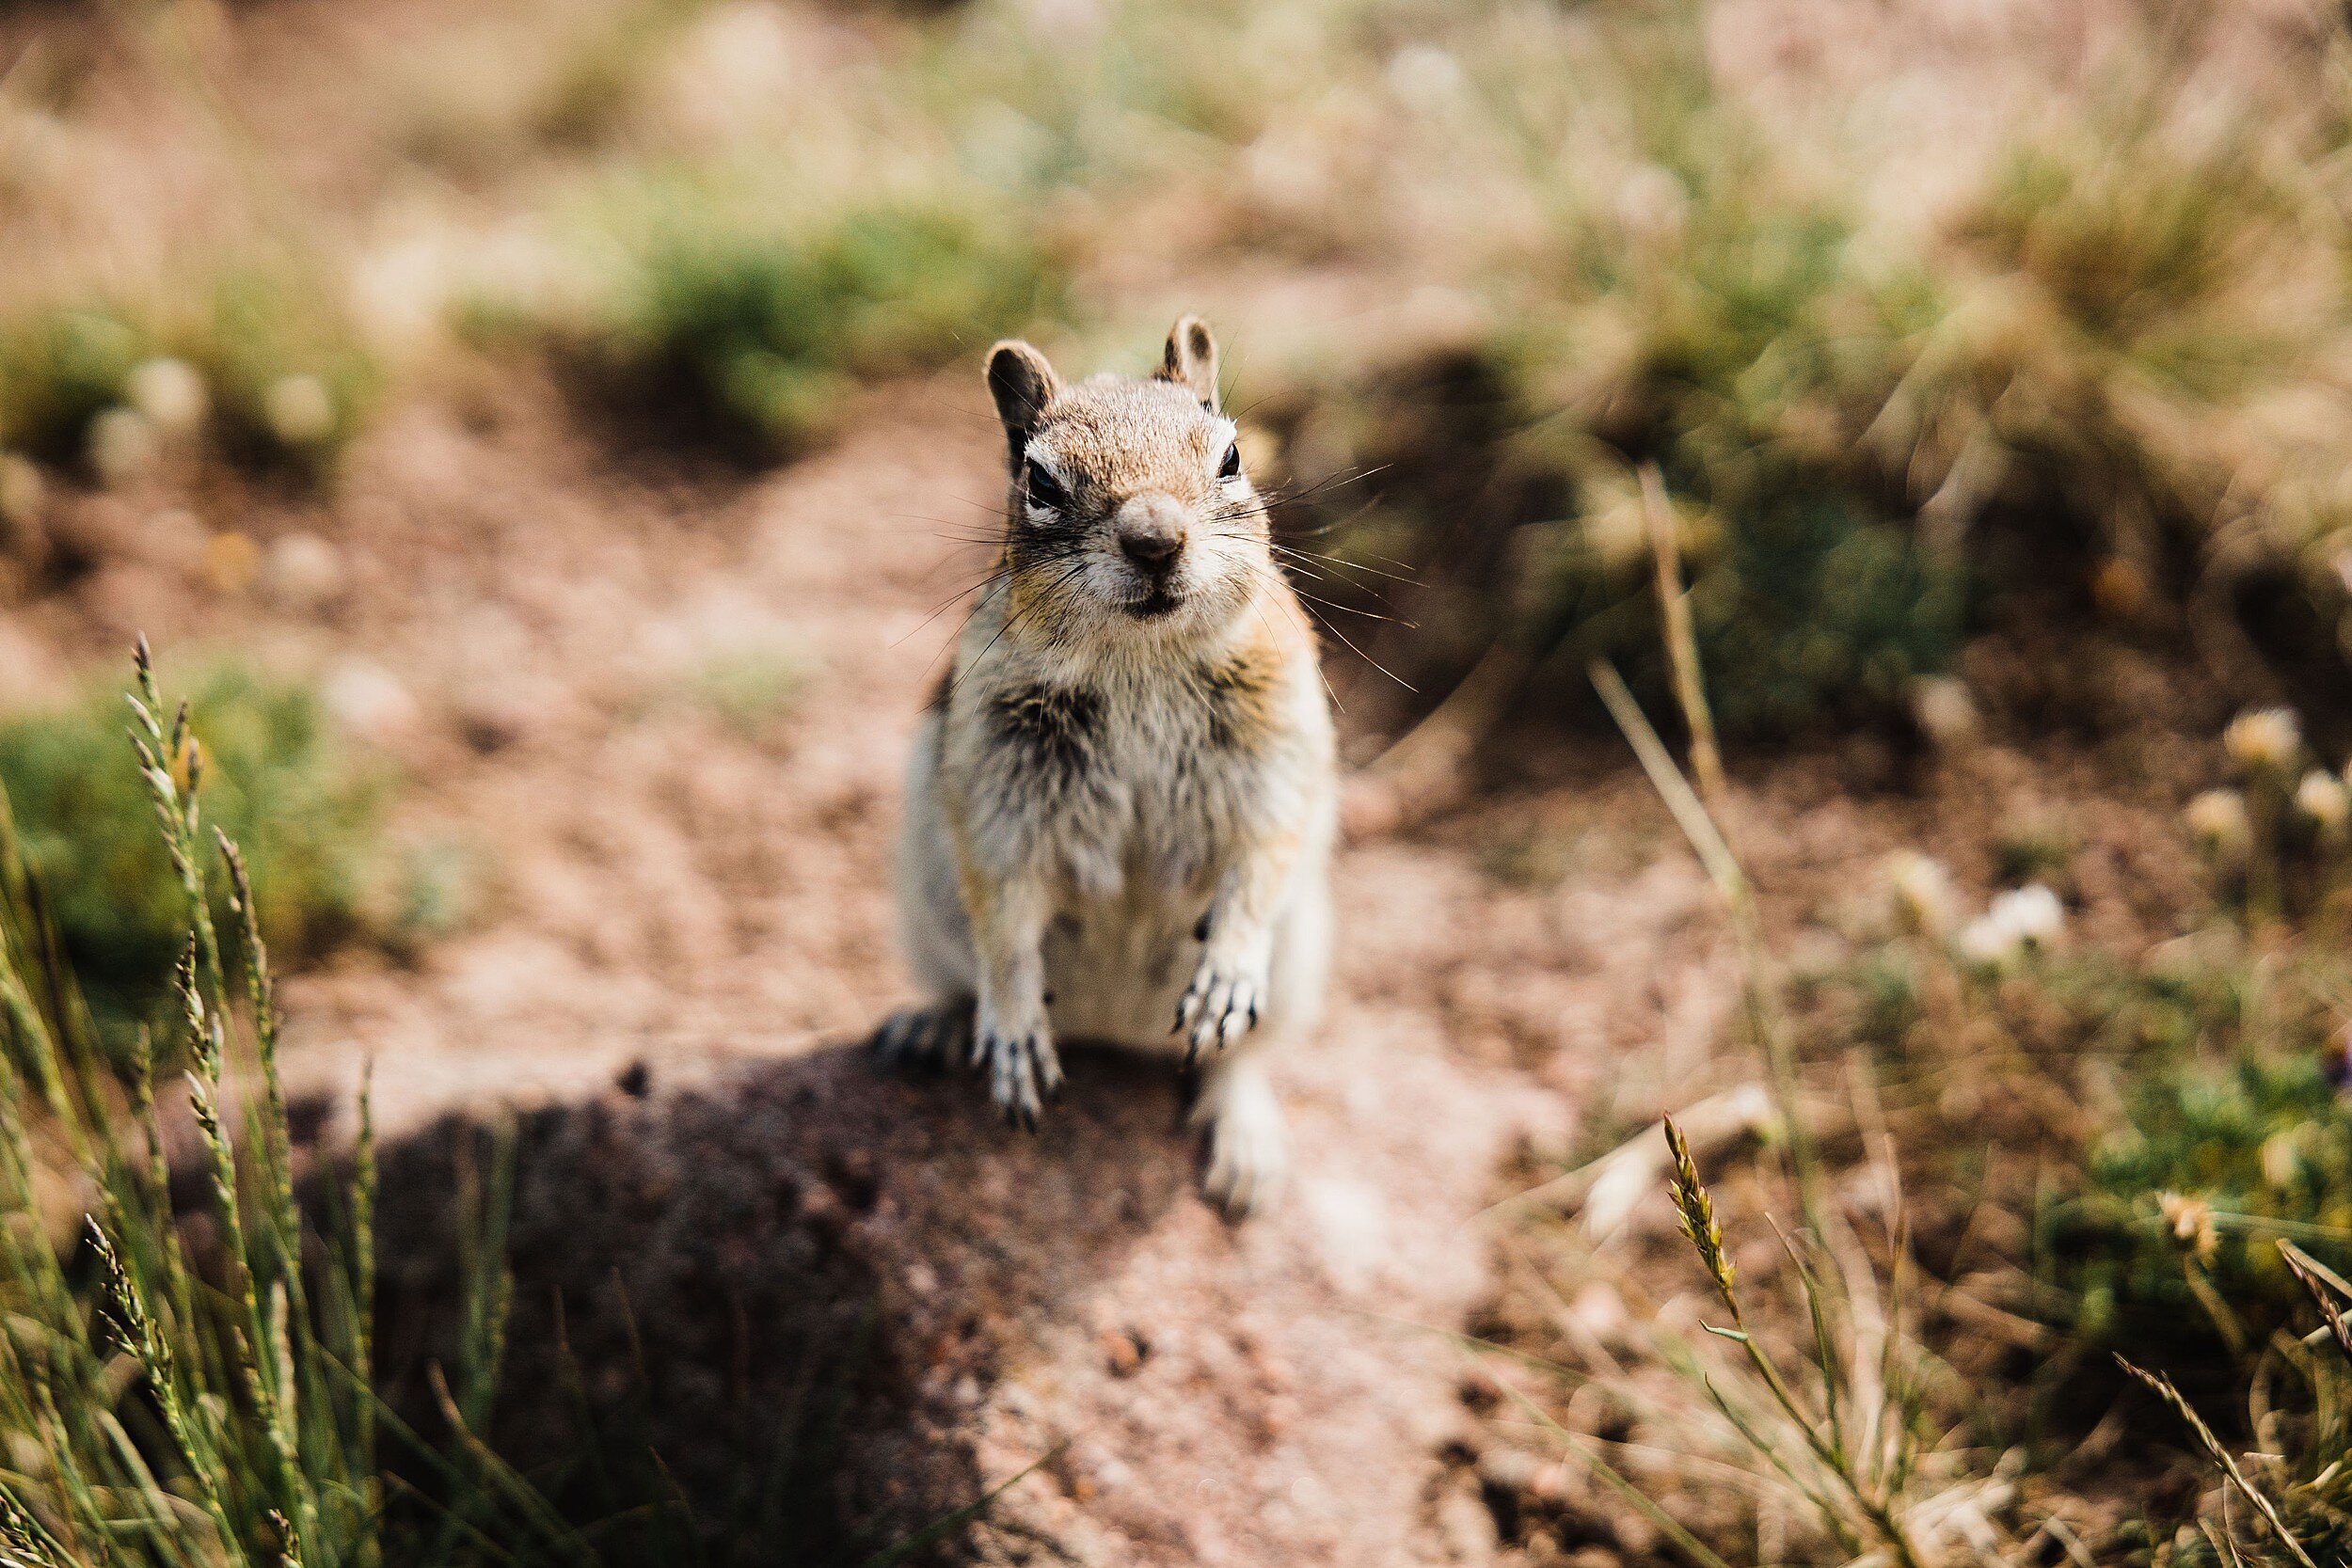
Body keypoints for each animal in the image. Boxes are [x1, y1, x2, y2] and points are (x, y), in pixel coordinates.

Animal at [884, 314, 1336, 1212]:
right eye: (1038, 479)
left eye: (1231, 457)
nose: (1156, 539)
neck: (1142, 662)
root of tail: (1116, 1032)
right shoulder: (997, 788)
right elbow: (1004, 912)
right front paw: (1014, 1026)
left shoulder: (1275, 754)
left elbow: (1260, 857)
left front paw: (1227, 965)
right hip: (924, 920)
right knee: (959, 974)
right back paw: (936, 1024)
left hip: (1300, 964)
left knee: (1240, 1055)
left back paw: (1245, 1142)